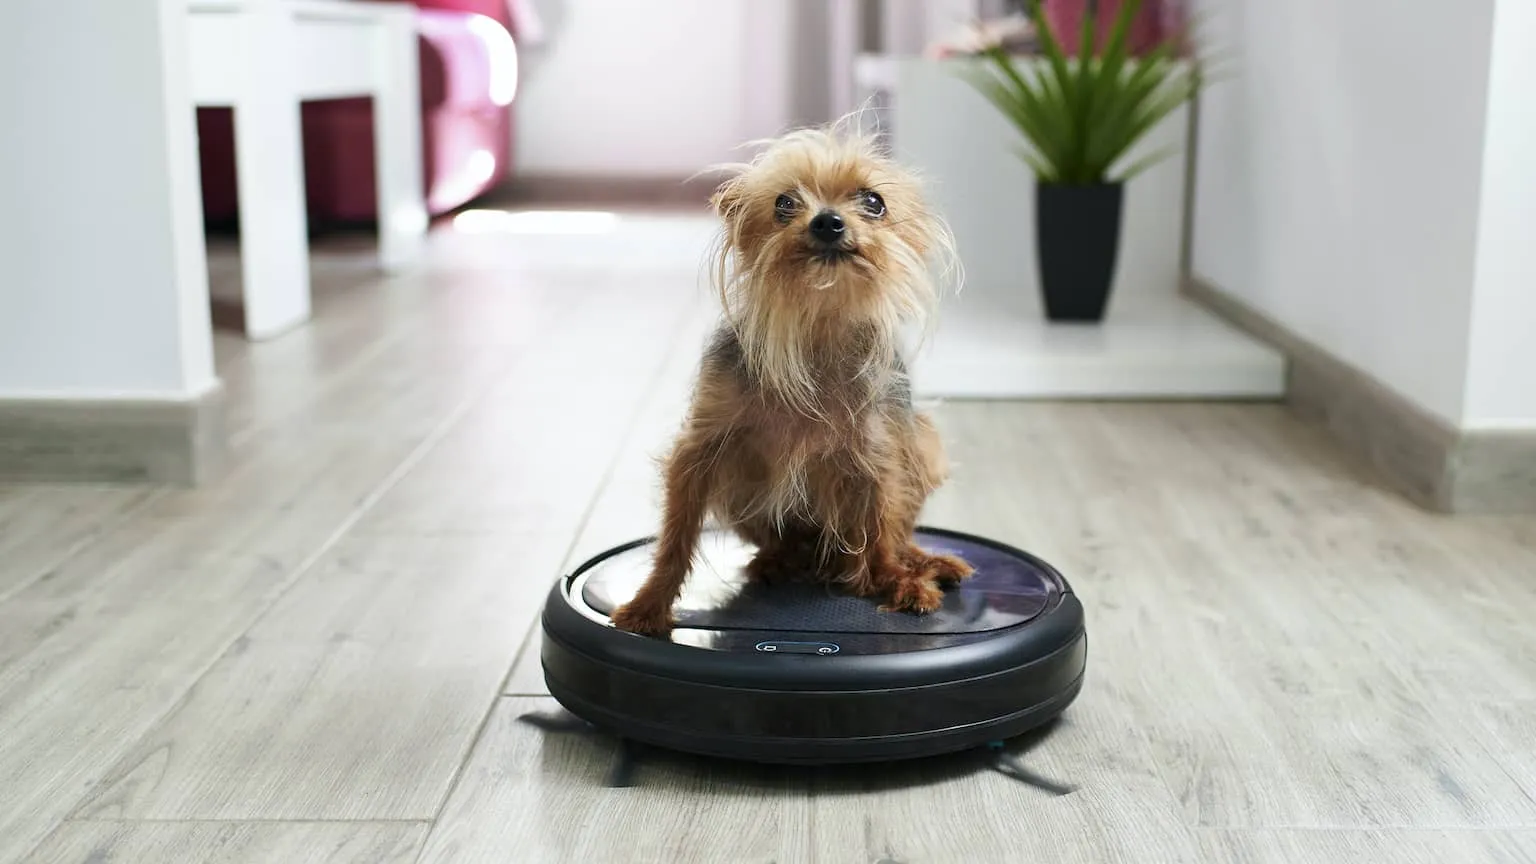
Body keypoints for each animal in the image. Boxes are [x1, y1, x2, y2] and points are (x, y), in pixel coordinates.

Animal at [608, 119, 970, 633]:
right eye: (784, 203)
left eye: (873, 201)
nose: (827, 221)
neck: (816, 323)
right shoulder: (701, 449)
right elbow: (676, 535)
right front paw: (649, 603)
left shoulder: (877, 456)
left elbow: (880, 524)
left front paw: (897, 581)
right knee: (785, 543)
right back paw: (778, 561)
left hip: (923, 446)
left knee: (893, 533)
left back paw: (919, 563)